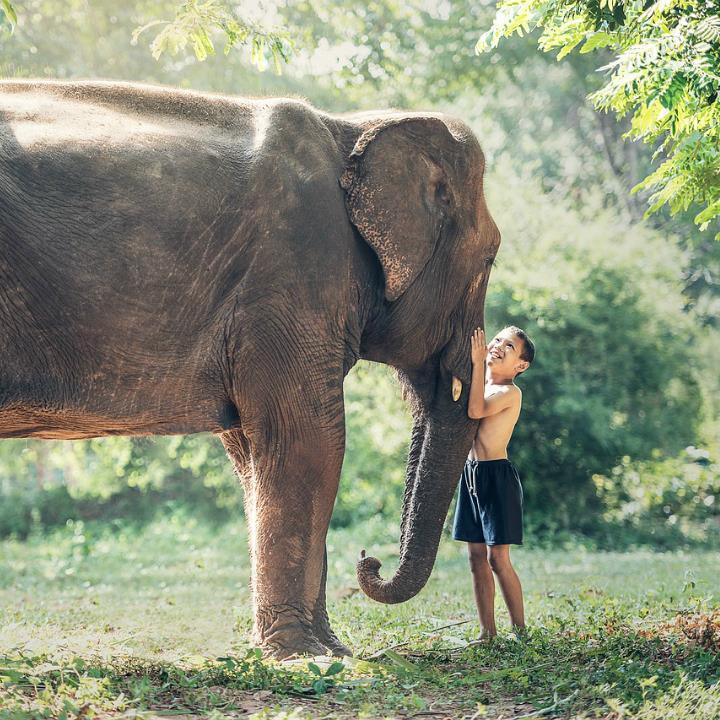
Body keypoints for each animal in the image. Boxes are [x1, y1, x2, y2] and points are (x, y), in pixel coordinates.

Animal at [0, 80, 500, 658]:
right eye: (491, 258)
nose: (369, 561)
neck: (352, 126)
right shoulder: (293, 272)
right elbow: (308, 440)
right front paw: (303, 654)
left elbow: (254, 454)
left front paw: (331, 651)